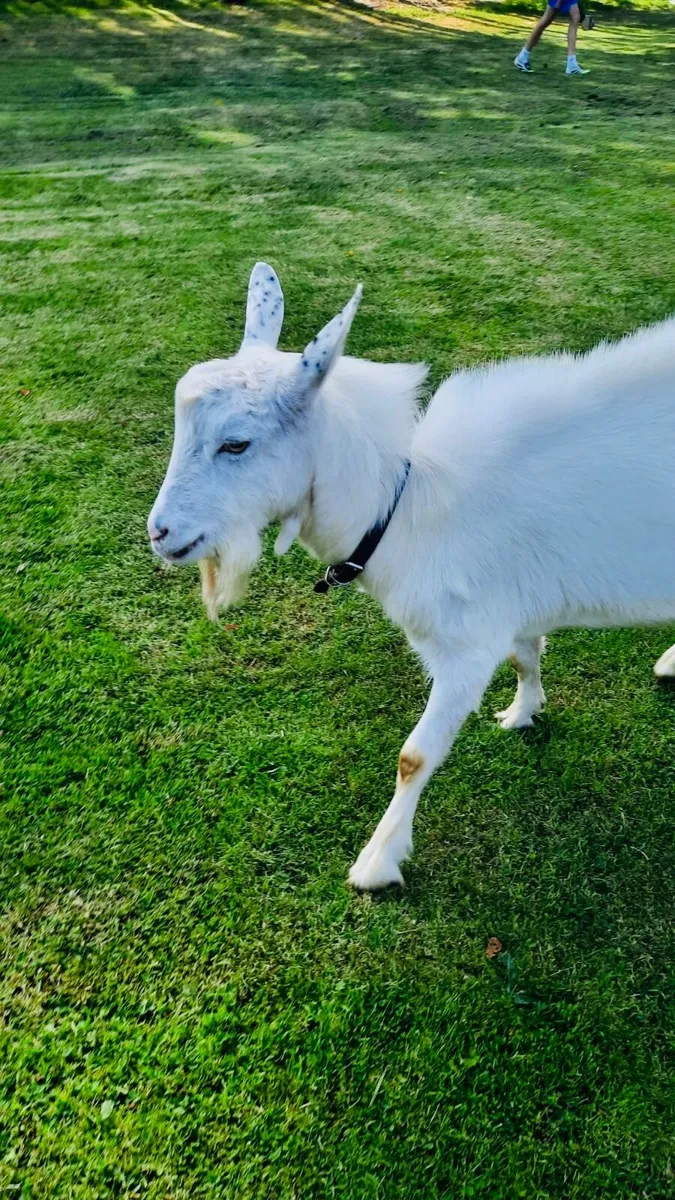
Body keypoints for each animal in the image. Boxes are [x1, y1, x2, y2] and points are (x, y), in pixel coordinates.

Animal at [148, 262, 675, 891]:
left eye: (235, 443)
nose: (160, 533)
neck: (402, 506)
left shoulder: (465, 647)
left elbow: (413, 756)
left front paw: (377, 863)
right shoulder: (510, 605)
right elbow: (526, 655)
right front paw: (523, 713)